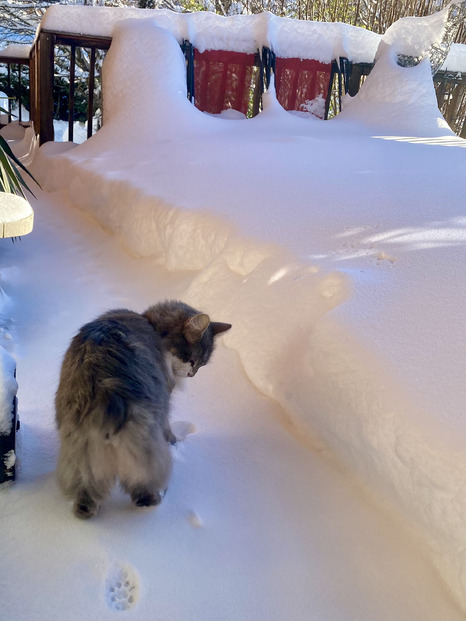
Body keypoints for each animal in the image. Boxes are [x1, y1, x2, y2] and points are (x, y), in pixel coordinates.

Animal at [55, 300, 230, 520]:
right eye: (191, 360)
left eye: (202, 364)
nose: (192, 374)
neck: (151, 323)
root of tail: (105, 392)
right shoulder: (165, 401)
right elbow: (168, 430)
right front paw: (176, 441)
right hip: (144, 446)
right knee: (142, 489)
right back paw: (158, 499)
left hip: (80, 456)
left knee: (86, 498)